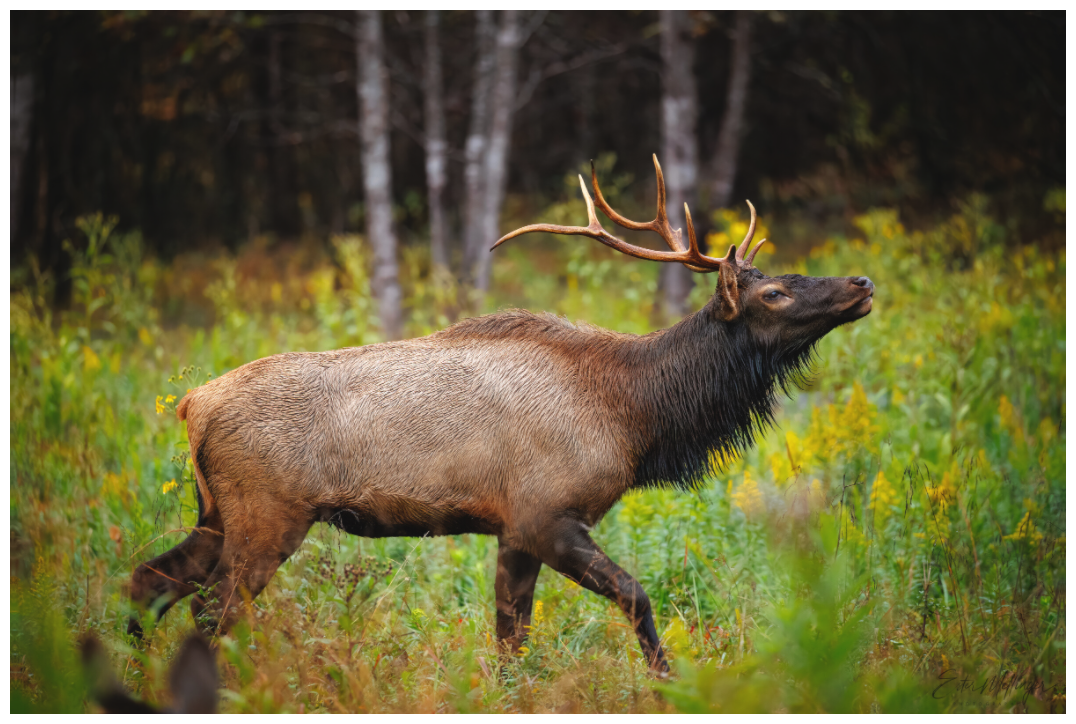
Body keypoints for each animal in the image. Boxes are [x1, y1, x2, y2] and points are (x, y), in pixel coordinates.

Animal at [127, 155, 874, 675]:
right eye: (774, 293)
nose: (862, 282)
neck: (634, 416)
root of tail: (192, 405)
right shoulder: (547, 514)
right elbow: (636, 597)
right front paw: (670, 686)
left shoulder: (512, 530)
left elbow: (510, 642)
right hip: (266, 515)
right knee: (207, 612)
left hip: (216, 512)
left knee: (148, 580)